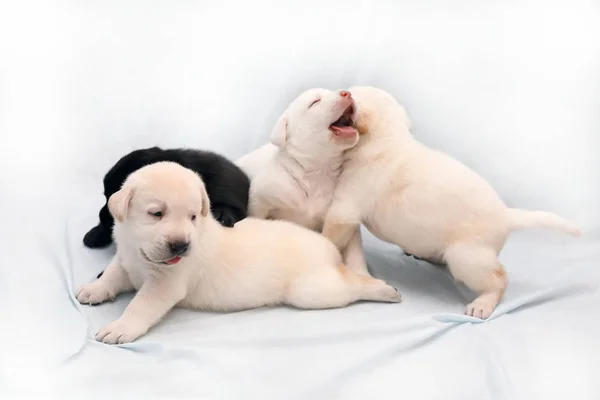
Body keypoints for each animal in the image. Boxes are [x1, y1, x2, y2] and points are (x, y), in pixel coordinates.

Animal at [76, 162, 404, 344]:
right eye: (156, 213)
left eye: (193, 216)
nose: (182, 246)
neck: (141, 253)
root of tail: (327, 246)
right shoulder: (126, 259)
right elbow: (112, 274)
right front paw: (94, 288)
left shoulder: (165, 284)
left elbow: (141, 305)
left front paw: (121, 327)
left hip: (312, 290)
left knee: (351, 283)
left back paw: (384, 290)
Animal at [324, 86, 580, 320]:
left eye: (352, 94)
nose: (344, 92)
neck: (387, 139)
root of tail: (506, 215)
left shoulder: (346, 206)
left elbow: (331, 232)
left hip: (466, 256)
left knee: (498, 279)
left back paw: (483, 303)